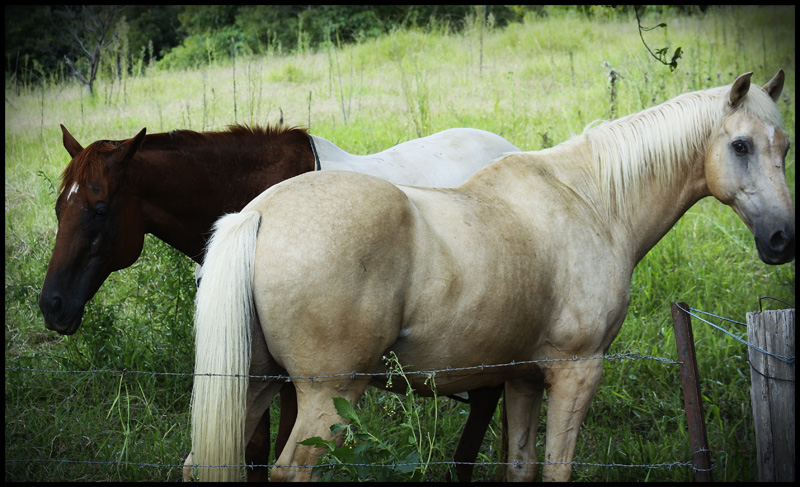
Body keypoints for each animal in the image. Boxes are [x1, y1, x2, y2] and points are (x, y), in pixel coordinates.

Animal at [189, 70, 792, 482]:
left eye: (784, 146)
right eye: (740, 145)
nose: (782, 239)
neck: (592, 202)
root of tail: (259, 212)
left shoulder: (522, 378)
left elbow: (520, 466)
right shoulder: (576, 372)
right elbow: (556, 469)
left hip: (256, 384)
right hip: (327, 396)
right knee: (293, 469)